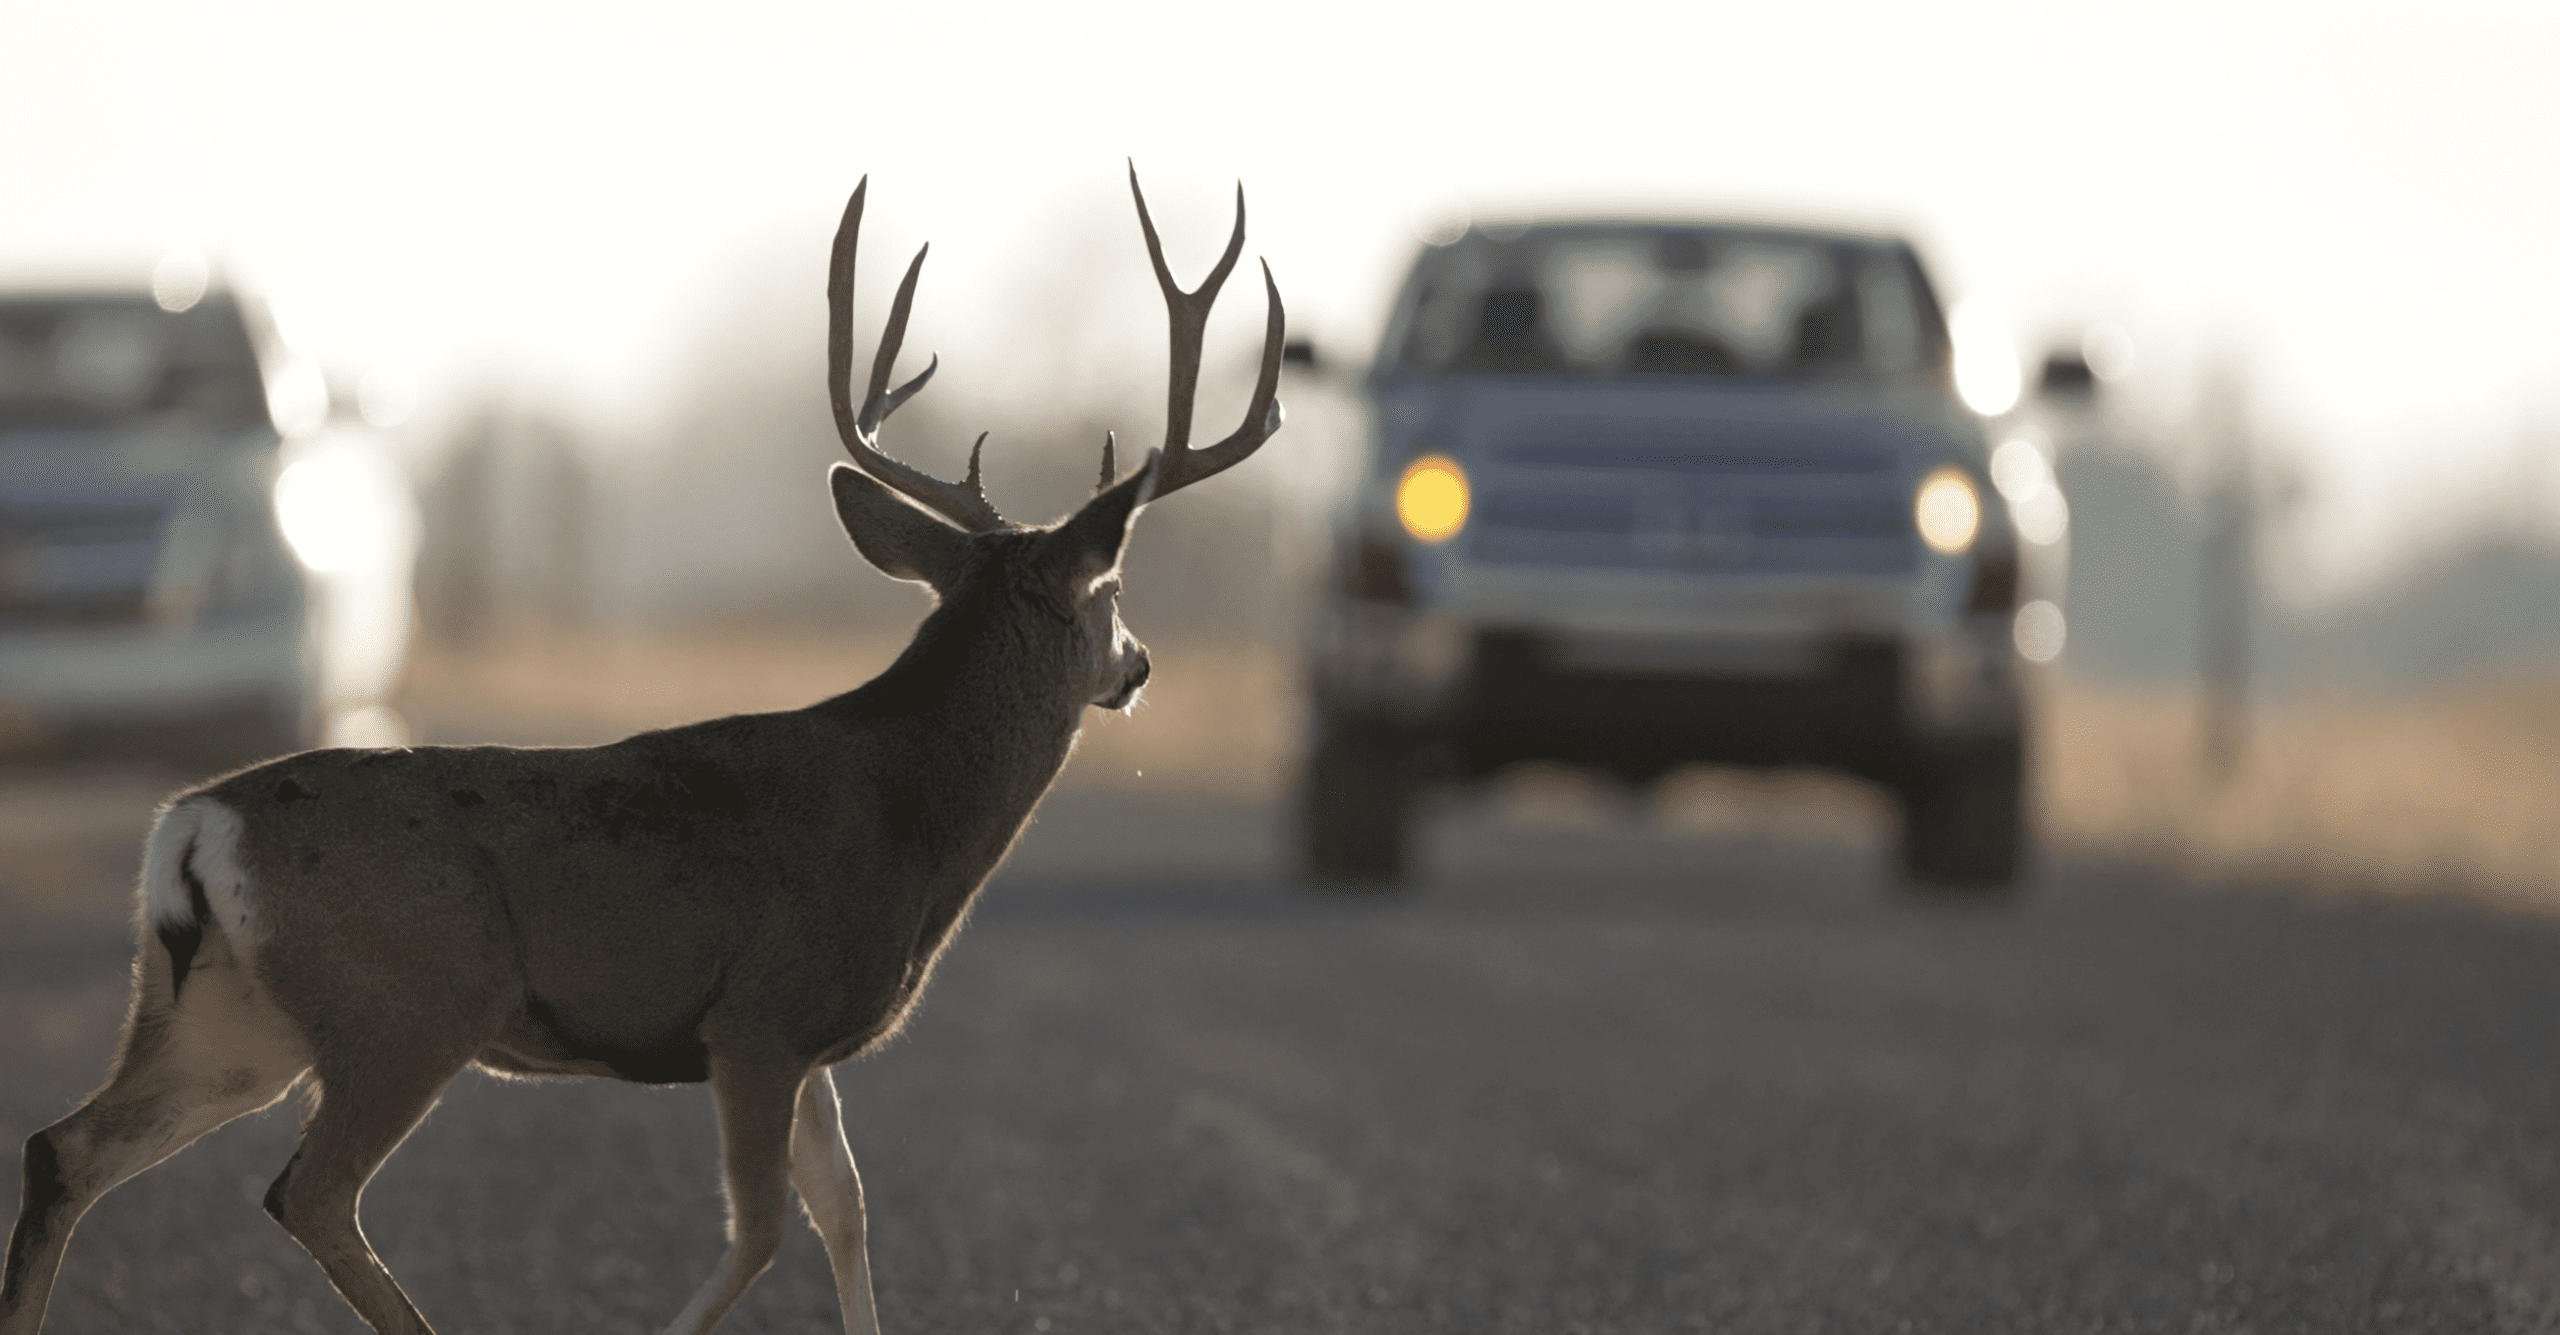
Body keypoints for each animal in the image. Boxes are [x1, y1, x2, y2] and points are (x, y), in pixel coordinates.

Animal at [0, 163, 1280, 1332]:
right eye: (1111, 592)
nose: (1140, 666)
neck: (908, 817)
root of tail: (193, 824)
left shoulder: (807, 1042)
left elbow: (848, 1212)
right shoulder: (759, 1014)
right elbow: (762, 1230)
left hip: (228, 1016)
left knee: (67, 1148)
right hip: (407, 1002)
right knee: (307, 1194)